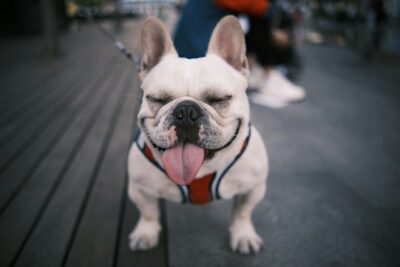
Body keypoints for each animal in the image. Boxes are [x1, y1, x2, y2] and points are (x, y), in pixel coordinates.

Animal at [126, 16, 268, 255]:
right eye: (158, 99)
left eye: (220, 99)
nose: (185, 111)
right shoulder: (139, 188)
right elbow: (148, 212)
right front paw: (146, 233)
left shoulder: (253, 188)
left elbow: (243, 212)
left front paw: (243, 235)